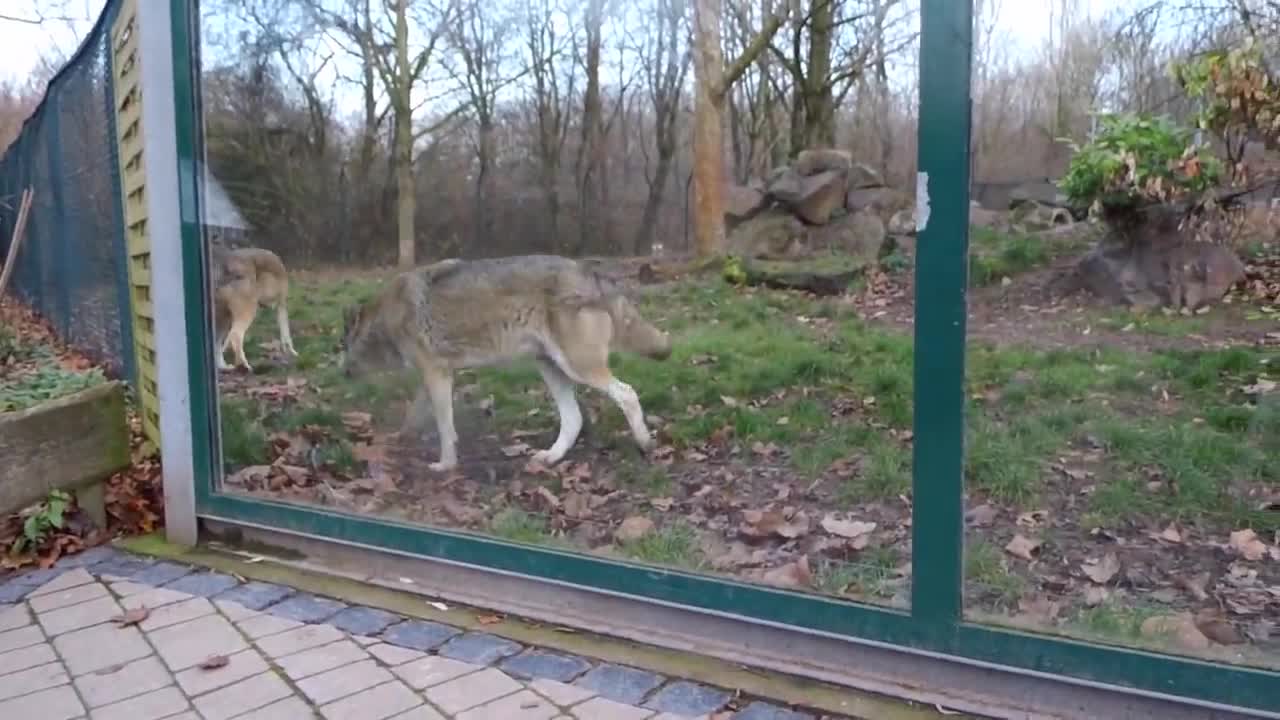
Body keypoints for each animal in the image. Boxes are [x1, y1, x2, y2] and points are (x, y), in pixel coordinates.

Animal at [340, 253, 680, 471]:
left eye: (341, 346)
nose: (341, 372)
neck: (385, 317)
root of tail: (589, 272)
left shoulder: (435, 372)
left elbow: (445, 428)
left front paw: (445, 465)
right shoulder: (439, 374)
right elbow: (419, 417)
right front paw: (402, 439)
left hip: (579, 367)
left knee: (627, 393)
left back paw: (645, 443)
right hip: (550, 368)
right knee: (574, 419)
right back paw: (550, 458)